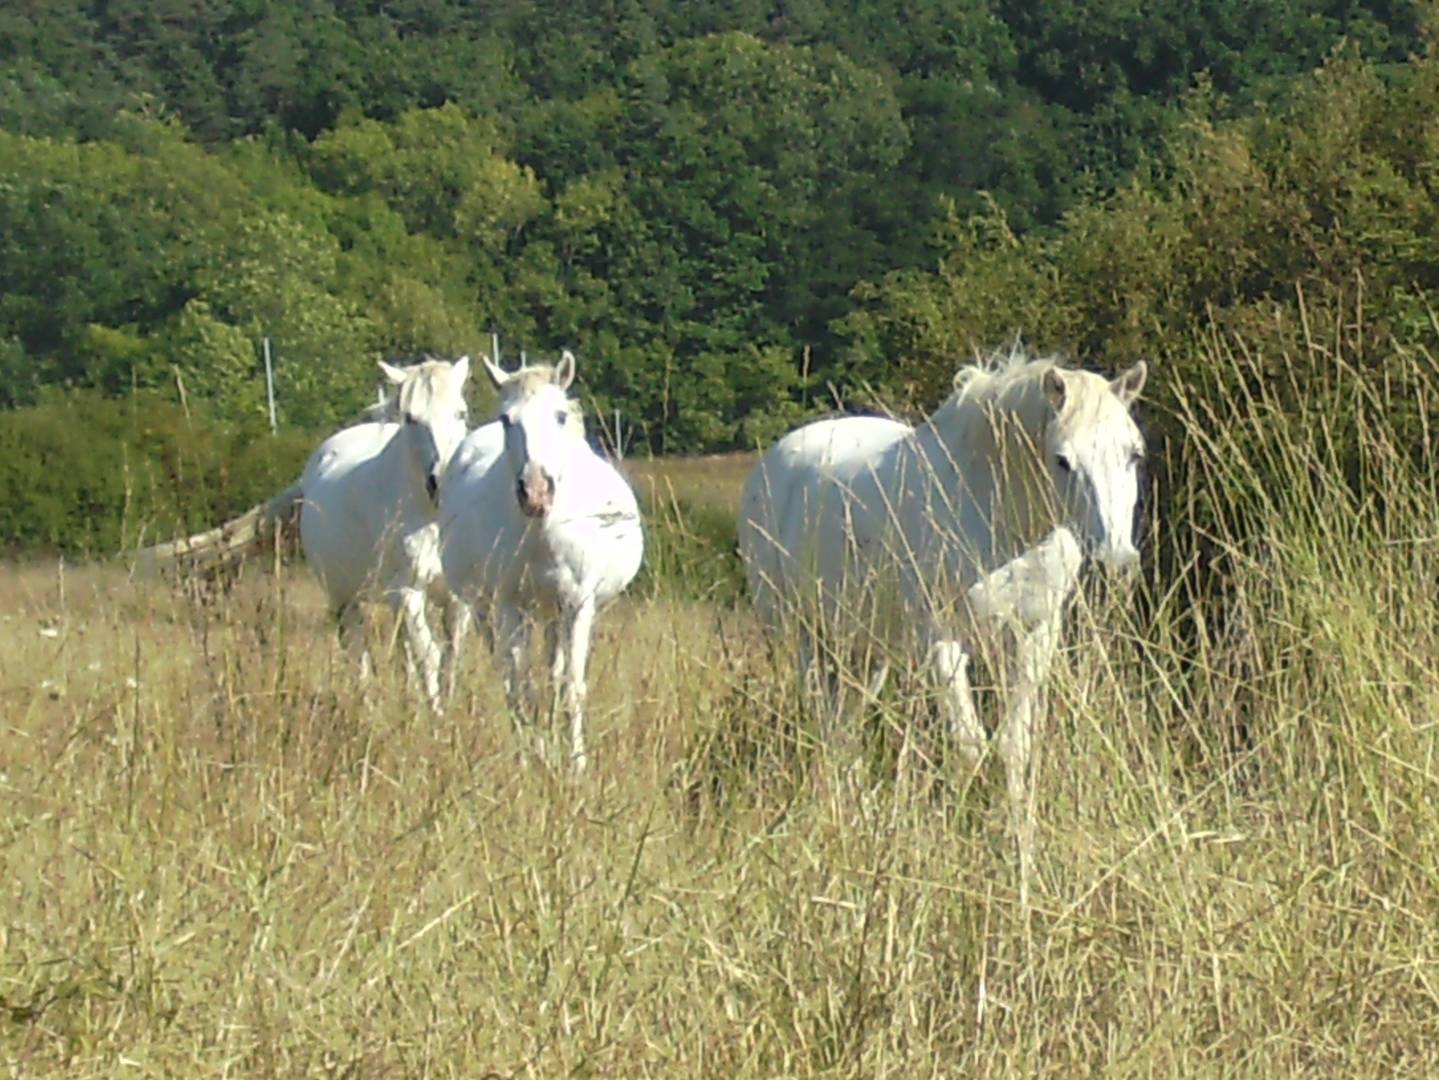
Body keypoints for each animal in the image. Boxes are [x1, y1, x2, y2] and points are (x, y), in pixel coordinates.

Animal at [439, 351, 644, 773]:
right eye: (507, 420)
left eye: (560, 416)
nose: (535, 492)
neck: (541, 531)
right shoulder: (509, 605)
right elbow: (519, 687)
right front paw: (529, 757)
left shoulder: (578, 605)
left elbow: (571, 686)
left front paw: (576, 764)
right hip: (484, 608)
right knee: (506, 670)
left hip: (555, 613)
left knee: (555, 671)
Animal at [737, 347, 1147, 905]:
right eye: (1063, 460)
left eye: (1134, 455)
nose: (1116, 562)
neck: (994, 510)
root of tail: (776, 460)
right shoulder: (943, 644)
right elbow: (970, 746)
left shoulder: (1033, 638)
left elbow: (1015, 747)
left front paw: (1021, 863)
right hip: (805, 638)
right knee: (826, 726)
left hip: (867, 654)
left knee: (844, 732)